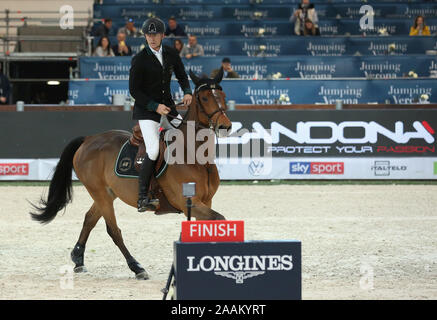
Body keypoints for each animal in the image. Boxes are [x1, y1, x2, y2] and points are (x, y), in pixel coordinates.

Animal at [29, 69, 232, 278]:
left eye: (223, 95)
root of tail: (88, 139)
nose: (225, 126)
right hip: (100, 194)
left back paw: (78, 259)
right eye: (205, 98)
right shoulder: (187, 202)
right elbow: (219, 219)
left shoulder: (206, 201)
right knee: (113, 230)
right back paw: (137, 267)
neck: (193, 154)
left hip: (107, 194)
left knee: (89, 219)